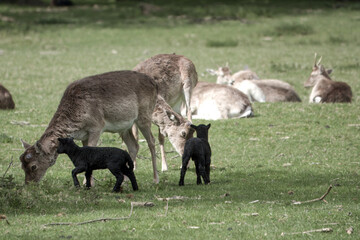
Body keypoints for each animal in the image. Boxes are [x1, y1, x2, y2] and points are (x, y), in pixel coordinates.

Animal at [20, 70, 160, 185]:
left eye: (33, 166)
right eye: (21, 165)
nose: (29, 184)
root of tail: (154, 84)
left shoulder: (97, 126)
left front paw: (87, 183)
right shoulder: (84, 135)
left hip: (144, 115)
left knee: (152, 141)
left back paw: (155, 179)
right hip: (125, 127)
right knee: (134, 146)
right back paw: (125, 180)